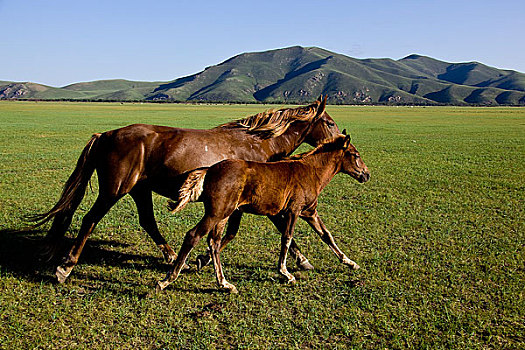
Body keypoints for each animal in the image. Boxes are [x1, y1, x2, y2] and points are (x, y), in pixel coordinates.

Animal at [31, 95, 340, 282]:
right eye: (330, 122)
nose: (342, 141)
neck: (258, 143)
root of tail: (105, 135)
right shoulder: (262, 199)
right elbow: (280, 228)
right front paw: (301, 261)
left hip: (139, 190)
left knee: (148, 222)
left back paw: (172, 258)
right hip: (114, 190)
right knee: (89, 220)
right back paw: (65, 267)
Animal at [157, 133, 368, 292]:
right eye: (355, 155)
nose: (366, 174)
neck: (310, 171)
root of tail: (210, 170)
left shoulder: (310, 212)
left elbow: (326, 235)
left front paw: (350, 262)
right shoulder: (293, 211)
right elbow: (287, 238)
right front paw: (285, 273)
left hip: (224, 214)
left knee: (214, 242)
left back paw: (225, 284)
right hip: (216, 212)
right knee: (193, 235)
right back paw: (167, 280)